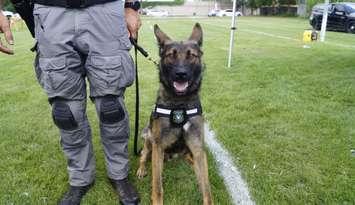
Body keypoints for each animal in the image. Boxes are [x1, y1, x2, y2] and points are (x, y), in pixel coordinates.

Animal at [136, 24, 214, 205]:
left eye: (191, 56)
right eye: (171, 56)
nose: (181, 74)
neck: (180, 103)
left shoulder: (197, 147)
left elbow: (206, 188)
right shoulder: (158, 146)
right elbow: (157, 186)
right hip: (148, 138)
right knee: (143, 155)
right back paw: (142, 169)